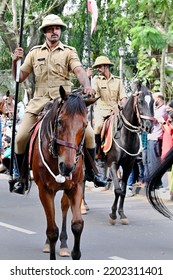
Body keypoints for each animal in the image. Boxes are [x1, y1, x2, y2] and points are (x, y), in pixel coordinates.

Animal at [28, 86, 96, 260]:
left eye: (85, 125)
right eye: (60, 121)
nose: (67, 166)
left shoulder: (76, 186)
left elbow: (77, 225)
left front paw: (75, 252)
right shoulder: (44, 190)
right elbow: (52, 230)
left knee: (64, 207)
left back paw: (64, 245)